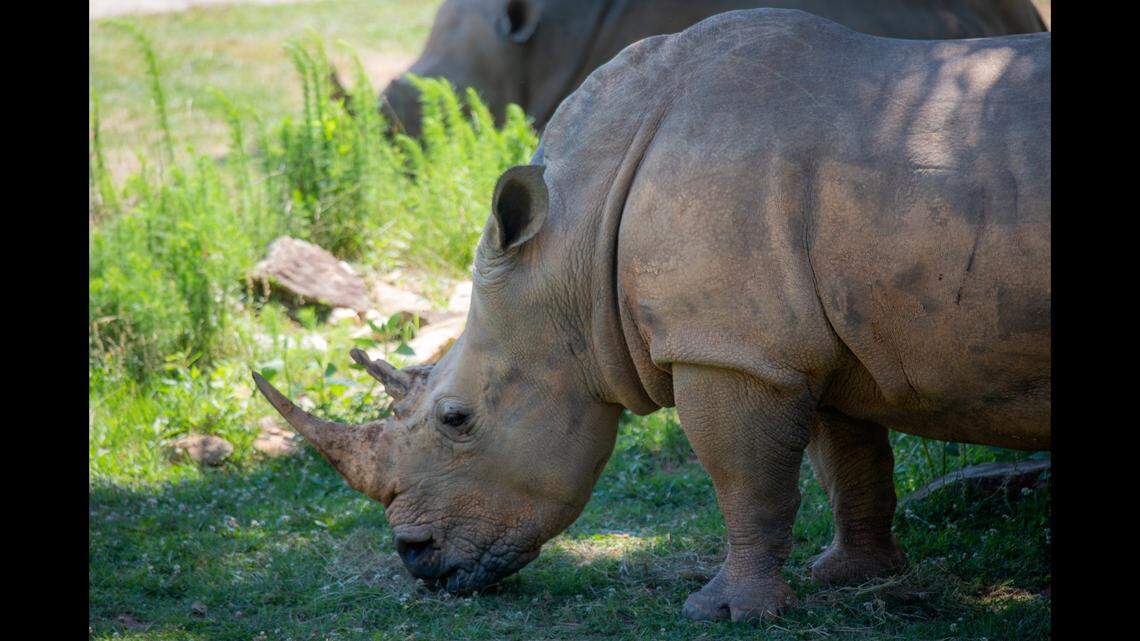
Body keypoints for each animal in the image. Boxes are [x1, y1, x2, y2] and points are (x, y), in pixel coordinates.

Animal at [258, 8, 1051, 621]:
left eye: (456, 420)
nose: (414, 557)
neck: (573, 237)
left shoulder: (726, 348)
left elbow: (746, 480)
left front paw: (726, 611)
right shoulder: (798, 337)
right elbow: (850, 457)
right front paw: (852, 577)